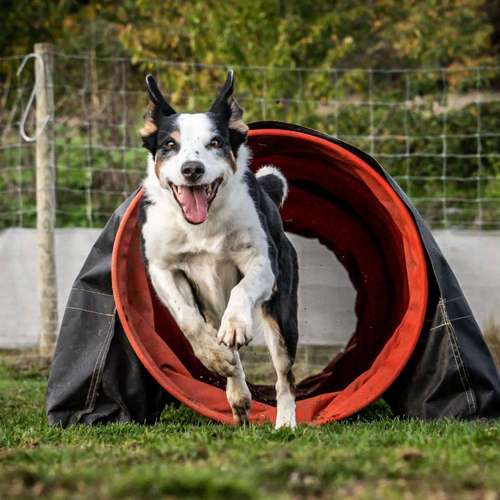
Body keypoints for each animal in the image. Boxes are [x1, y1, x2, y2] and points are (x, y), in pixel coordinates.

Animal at [139, 71, 298, 430]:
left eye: (215, 142)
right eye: (170, 145)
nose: (192, 169)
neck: (202, 227)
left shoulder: (262, 264)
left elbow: (242, 289)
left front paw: (237, 325)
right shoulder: (163, 269)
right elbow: (187, 319)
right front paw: (215, 358)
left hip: (282, 313)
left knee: (285, 377)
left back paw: (285, 422)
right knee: (222, 342)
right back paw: (236, 390)